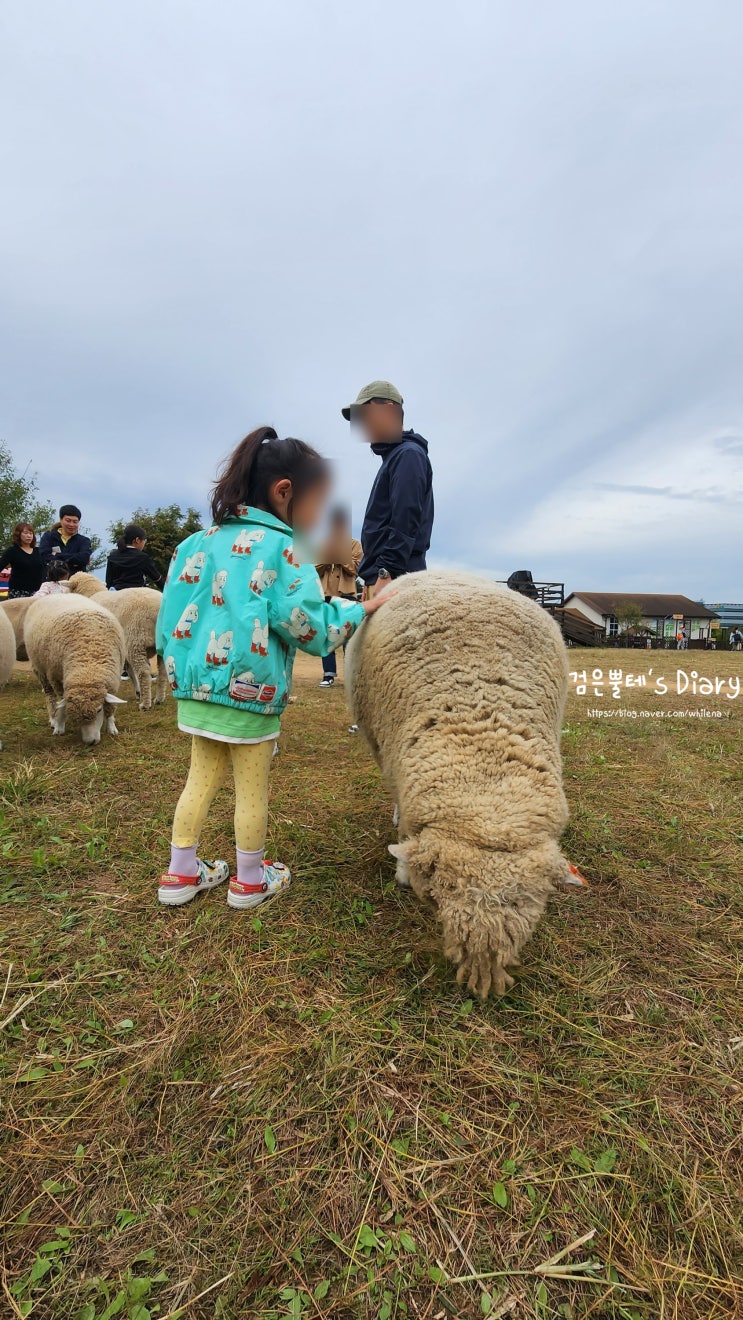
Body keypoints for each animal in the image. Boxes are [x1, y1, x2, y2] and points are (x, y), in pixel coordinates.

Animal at [24, 596, 126, 744]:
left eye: (99, 710)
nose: (90, 742)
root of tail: (54, 595)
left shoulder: (114, 678)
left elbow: (111, 706)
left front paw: (111, 726)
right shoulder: (56, 677)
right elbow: (62, 705)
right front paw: (59, 726)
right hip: (39, 668)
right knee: (50, 696)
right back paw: (53, 719)